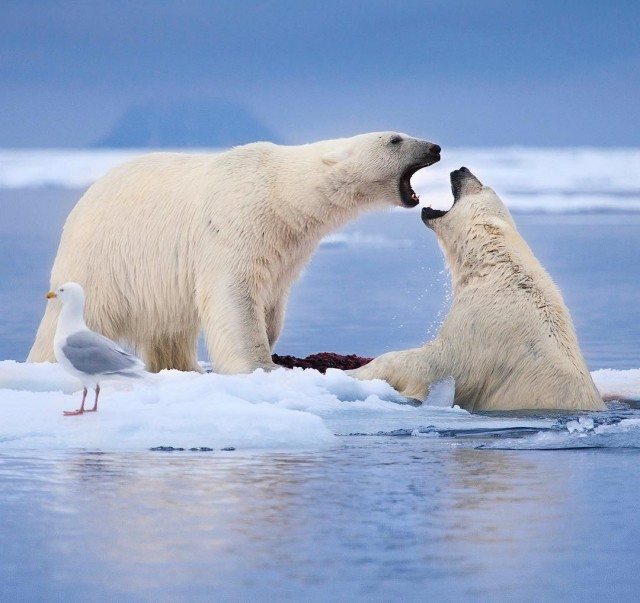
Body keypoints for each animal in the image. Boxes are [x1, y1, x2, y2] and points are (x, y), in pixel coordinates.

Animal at [28, 133, 440, 372]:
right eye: (395, 139)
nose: (435, 147)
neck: (282, 195)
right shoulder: (236, 225)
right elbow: (234, 297)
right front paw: (260, 365)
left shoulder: (286, 248)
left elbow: (272, 301)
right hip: (102, 259)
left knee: (170, 329)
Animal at [348, 168, 608, 412]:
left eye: (480, 186)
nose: (462, 169)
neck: (496, 266)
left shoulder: (481, 324)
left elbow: (437, 362)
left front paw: (356, 372)